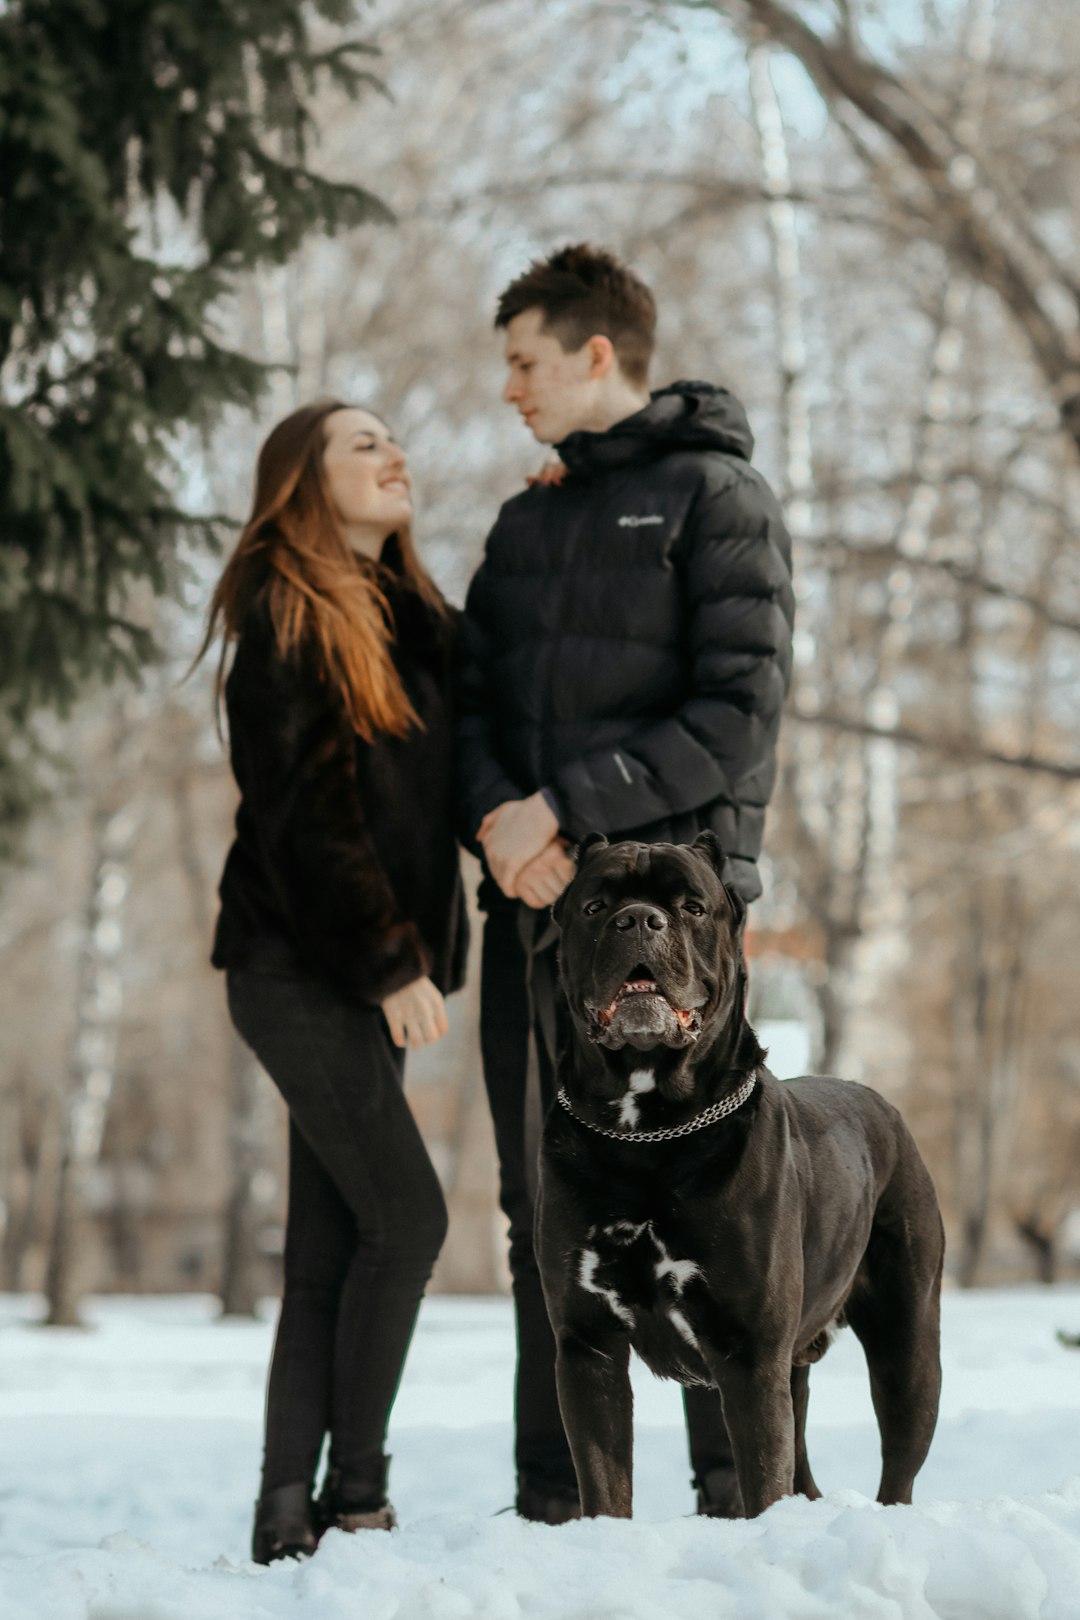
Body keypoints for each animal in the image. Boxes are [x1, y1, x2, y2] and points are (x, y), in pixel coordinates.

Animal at [537, 835, 939, 1516]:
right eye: (595, 906)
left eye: (692, 906)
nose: (638, 919)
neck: (648, 1134)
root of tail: (885, 1108)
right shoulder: (586, 1347)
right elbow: (606, 1484)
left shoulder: (750, 1357)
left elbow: (762, 1482)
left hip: (905, 1344)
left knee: (898, 1473)